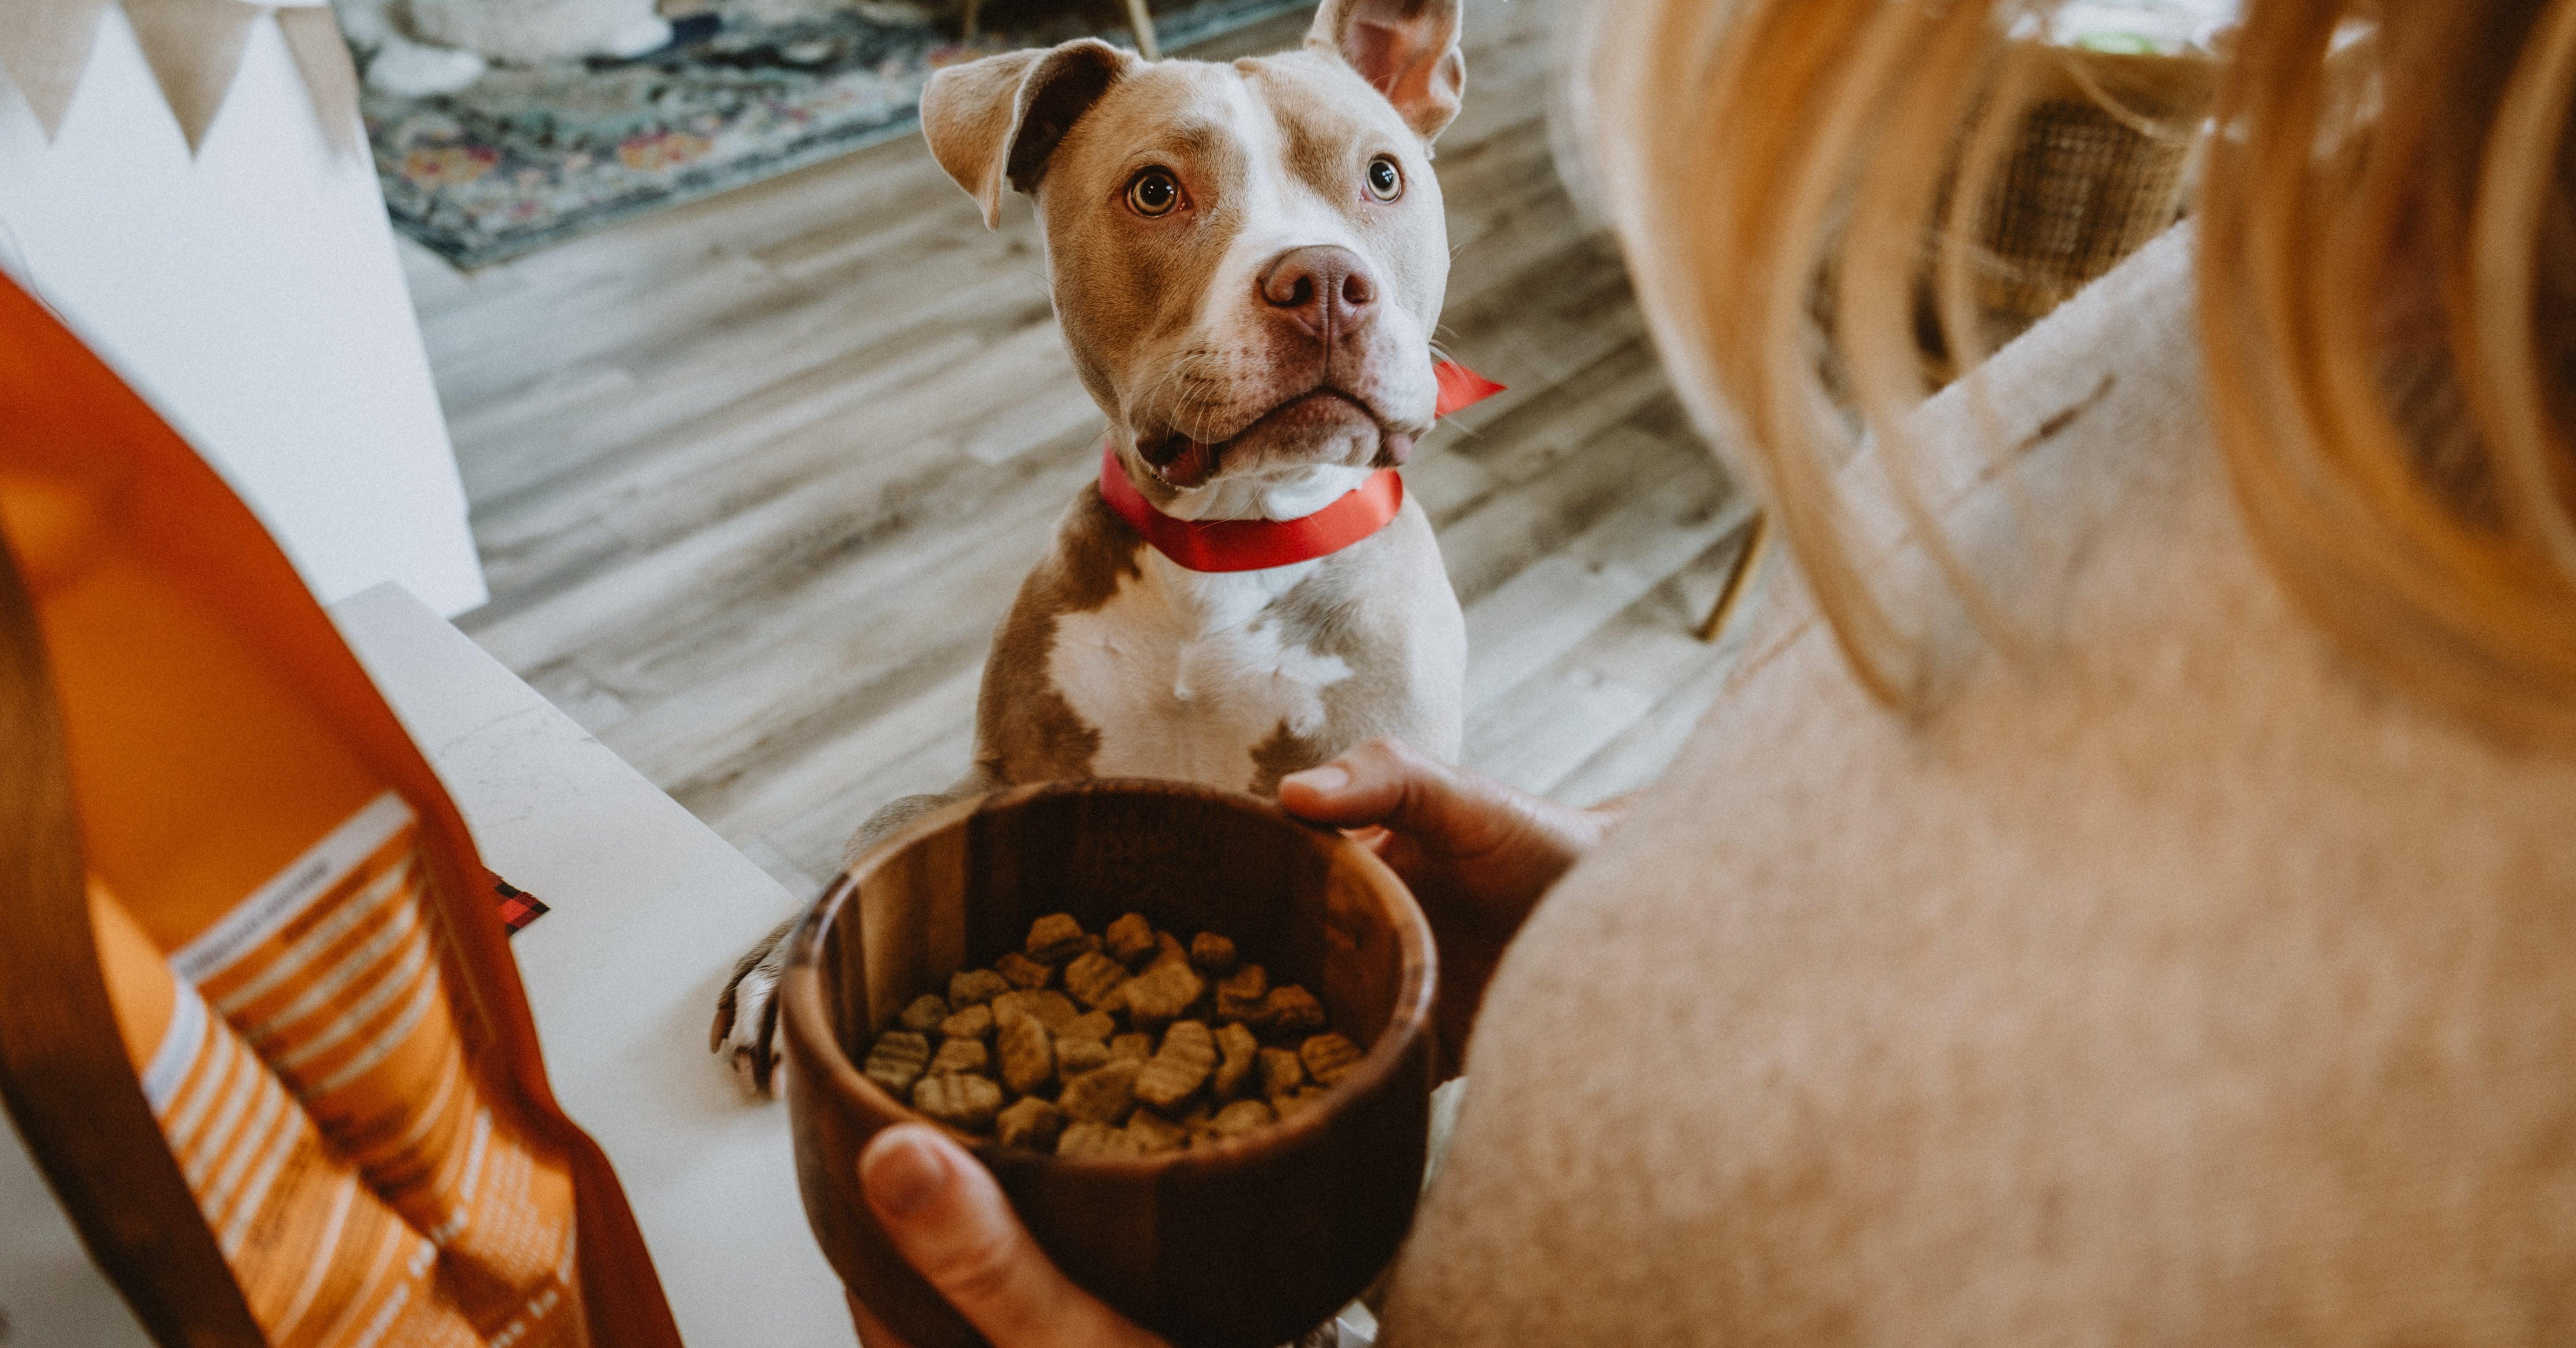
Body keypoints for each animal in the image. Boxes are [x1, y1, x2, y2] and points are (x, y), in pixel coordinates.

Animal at [716, 0, 1483, 1087]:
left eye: (1383, 176)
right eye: (1155, 191)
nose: (1325, 279)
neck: (1227, 554)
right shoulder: (1002, 776)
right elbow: (882, 826)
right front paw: (790, 964)